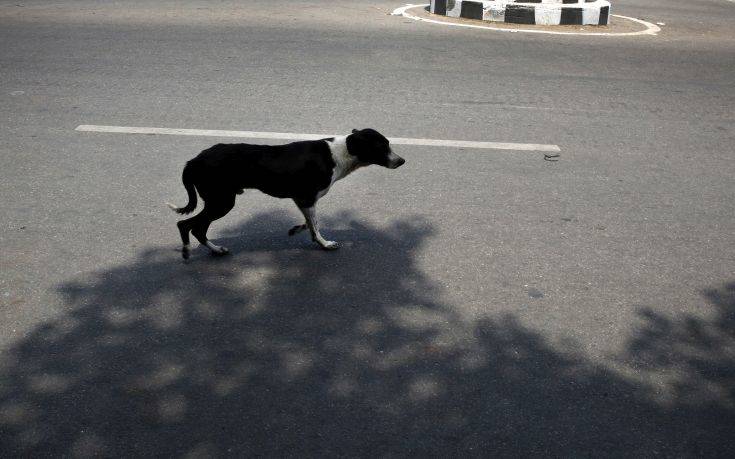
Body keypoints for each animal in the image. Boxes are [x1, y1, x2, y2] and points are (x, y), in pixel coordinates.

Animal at [169, 129, 406, 258]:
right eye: (382, 146)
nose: (402, 161)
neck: (341, 153)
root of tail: (194, 161)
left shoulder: (302, 199)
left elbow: (310, 223)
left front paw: (299, 230)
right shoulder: (308, 198)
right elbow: (316, 225)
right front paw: (325, 244)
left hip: (218, 201)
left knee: (196, 228)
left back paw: (215, 250)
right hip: (222, 201)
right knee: (188, 226)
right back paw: (193, 251)